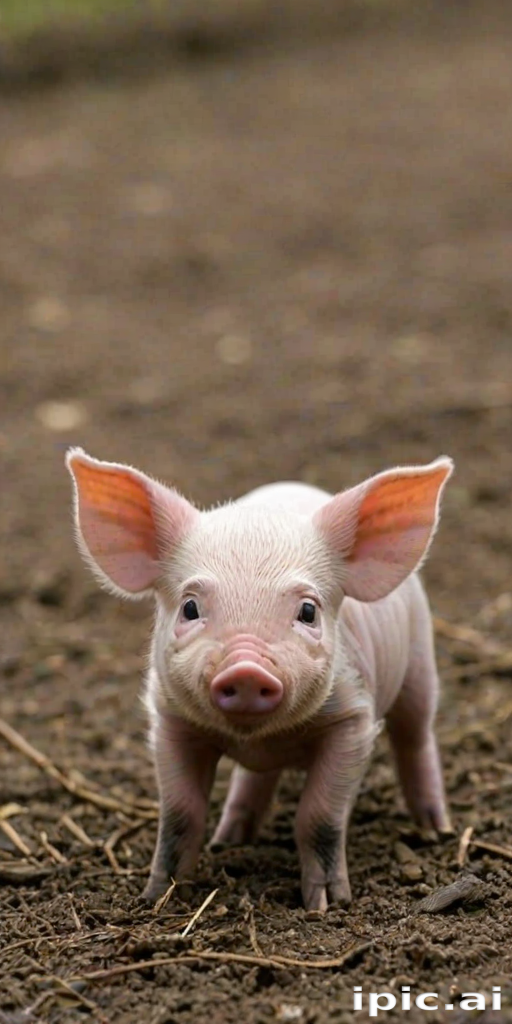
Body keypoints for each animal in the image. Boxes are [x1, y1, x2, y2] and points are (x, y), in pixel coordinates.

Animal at [66, 448, 453, 911]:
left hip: (420, 662)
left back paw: (437, 829)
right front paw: (157, 895)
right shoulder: (170, 719)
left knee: (415, 737)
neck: (259, 737)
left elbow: (319, 817)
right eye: (190, 607)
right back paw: (229, 840)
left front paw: (326, 904)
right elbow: (180, 814)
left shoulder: (353, 720)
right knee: (255, 778)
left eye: (308, 612)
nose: (247, 669)